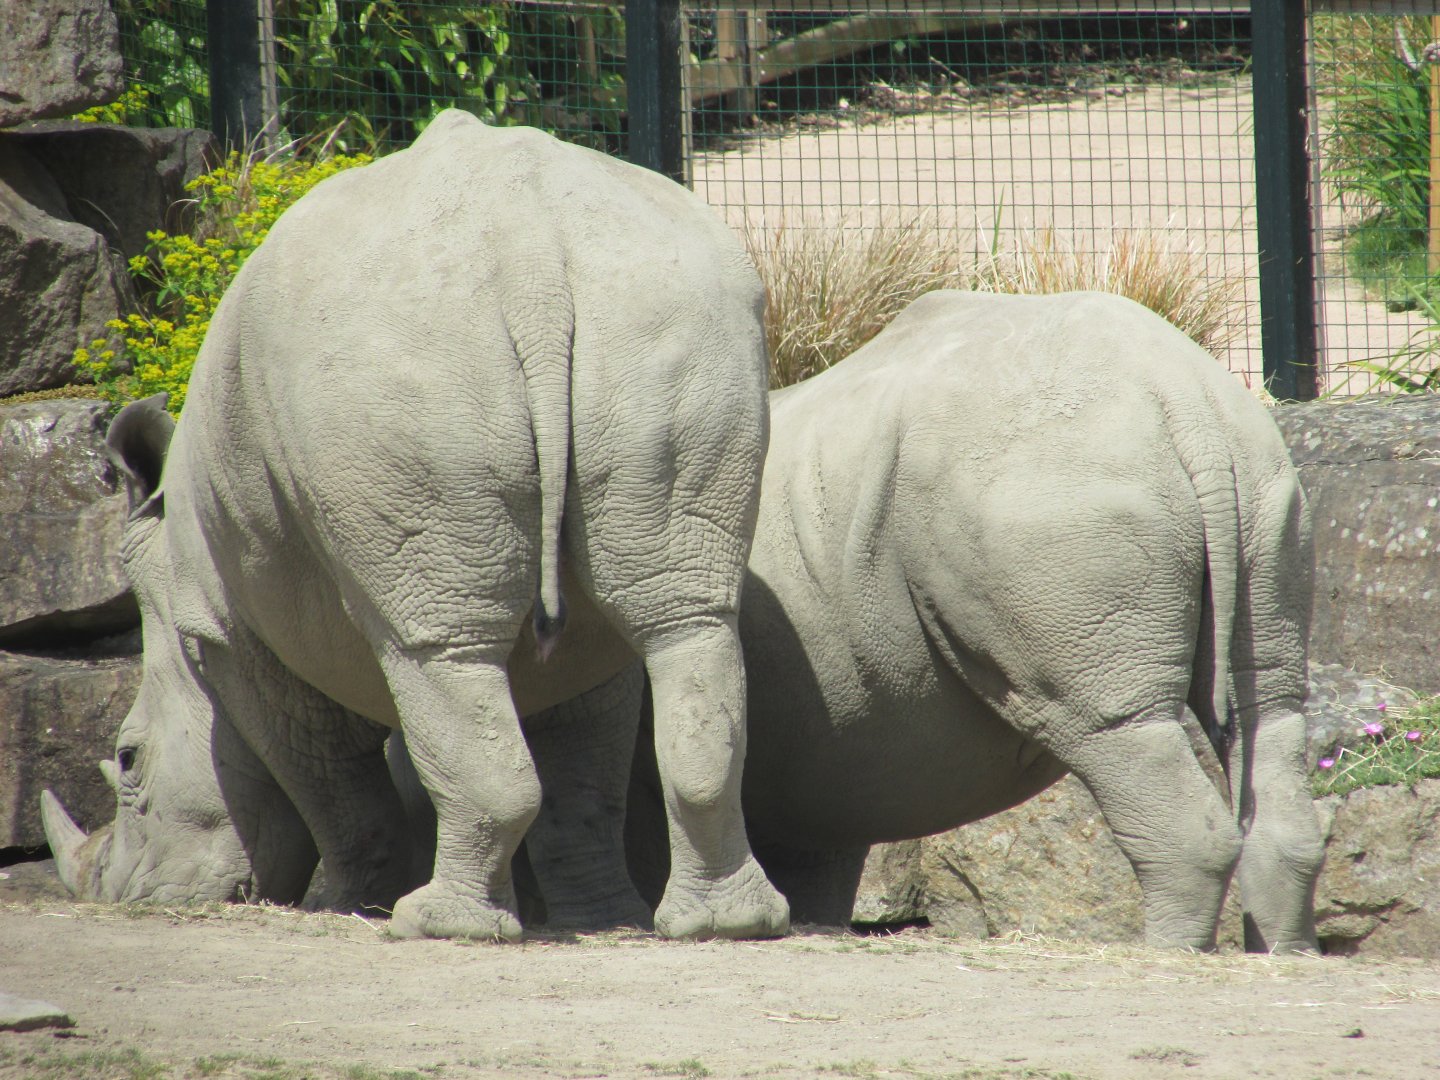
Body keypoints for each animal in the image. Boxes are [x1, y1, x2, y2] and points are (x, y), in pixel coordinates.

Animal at [40, 110, 790, 942]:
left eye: (128, 760)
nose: (123, 893)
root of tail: (529, 253)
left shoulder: (231, 635)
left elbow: (330, 781)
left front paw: (344, 903)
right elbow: (583, 773)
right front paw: (602, 916)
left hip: (396, 365)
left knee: (437, 648)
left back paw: (432, 923)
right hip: (662, 318)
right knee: (683, 622)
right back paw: (722, 925)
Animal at [594, 290, 1323, 951]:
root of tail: (1185, 402)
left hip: (1045, 489)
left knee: (1115, 728)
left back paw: (1168, 954)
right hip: (1255, 473)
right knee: (1269, 708)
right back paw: (1283, 952)